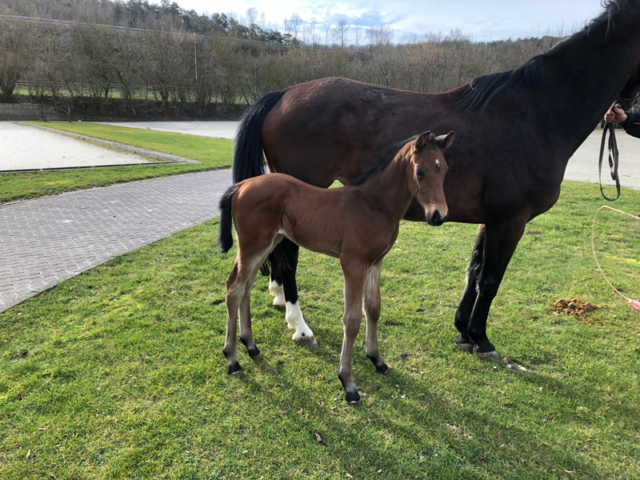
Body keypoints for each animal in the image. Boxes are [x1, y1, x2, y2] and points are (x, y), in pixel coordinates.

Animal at [220, 130, 456, 402]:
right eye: (420, 171)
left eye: (444, 169)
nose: (439, 215)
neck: (375, 204)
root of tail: (241, 185)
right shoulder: (353, 263)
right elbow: (352, 319)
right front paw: (348, 383)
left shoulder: (376, 262)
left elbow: (373, 308)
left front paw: (377, 360)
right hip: (253, 245)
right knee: (234, 287)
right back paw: (232, 359)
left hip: (268, 243)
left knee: (246, 287)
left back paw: (250, 346)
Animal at [232, 0, 640, 360]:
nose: (625, 112)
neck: (536, 114)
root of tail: (283, 94)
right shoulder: (511, 221)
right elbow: (490, 280)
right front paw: (481, 339)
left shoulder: (492, 220)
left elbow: (473, 272)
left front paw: (463, 331)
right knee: (287, 255)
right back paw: (300, 325)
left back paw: (279, 297)